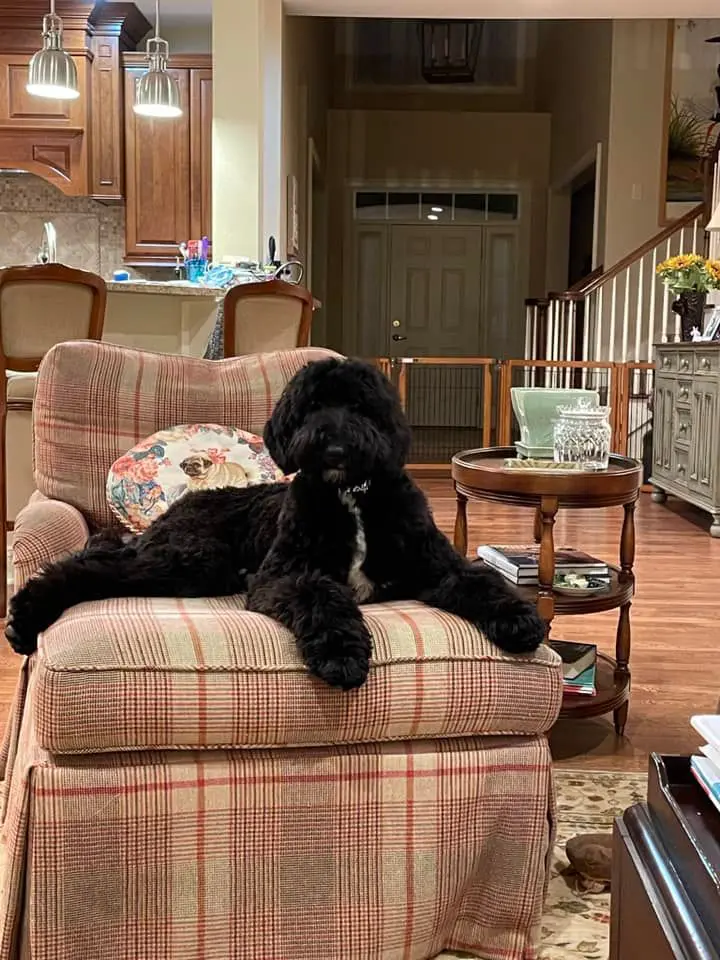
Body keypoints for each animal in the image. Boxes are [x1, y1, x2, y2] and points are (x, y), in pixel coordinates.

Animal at [5, 356, 544, 688]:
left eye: (359, 405)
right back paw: (26, 615)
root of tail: (177, 509)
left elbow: (479, 579)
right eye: (311, 406)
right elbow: (322, 595)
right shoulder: (284, 574)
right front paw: (341, 652)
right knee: (87, 567)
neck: (350, 495)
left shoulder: (435, 566)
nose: (333, 444)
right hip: (192, 558)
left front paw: (519, 618)